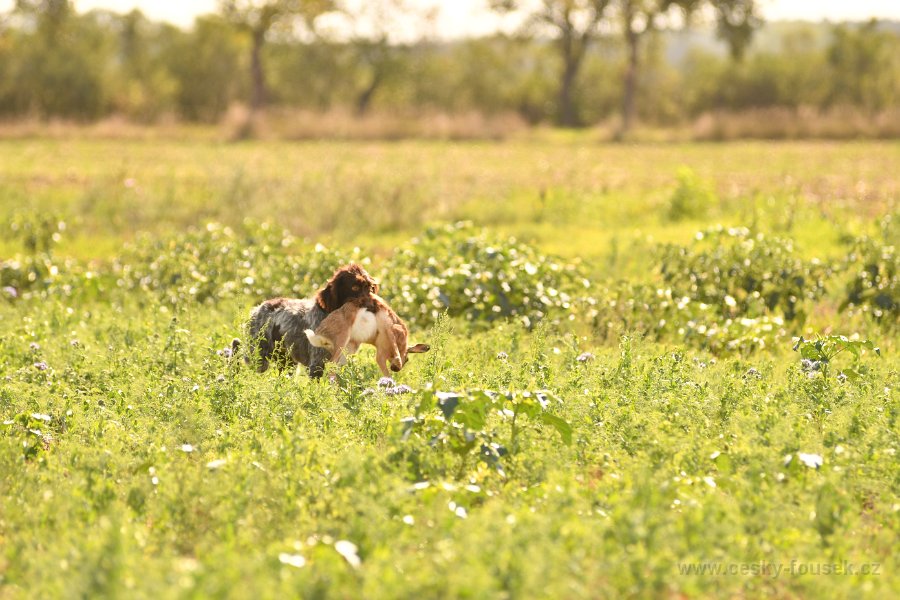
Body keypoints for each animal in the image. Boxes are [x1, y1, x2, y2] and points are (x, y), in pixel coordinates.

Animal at [236, 264, 376, 378]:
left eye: (369, 288)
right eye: (355, 287)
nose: (373, 306)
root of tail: (258, 308)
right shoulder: (317, 364)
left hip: (286, 361)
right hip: (258, 358)